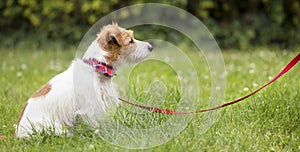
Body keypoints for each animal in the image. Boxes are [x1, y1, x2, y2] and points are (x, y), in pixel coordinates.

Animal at [14, 22, 152, 138]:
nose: (151, 46)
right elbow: (96, 125)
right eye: (130, 41)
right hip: (54, 128)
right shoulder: (90, 108)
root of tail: (18, 134)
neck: (97, 67)